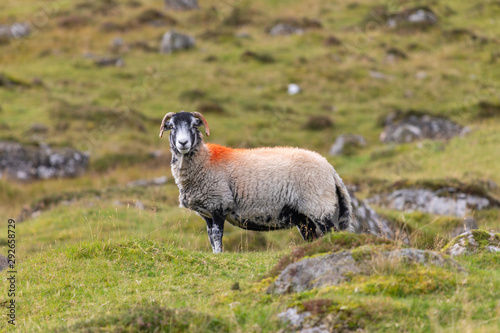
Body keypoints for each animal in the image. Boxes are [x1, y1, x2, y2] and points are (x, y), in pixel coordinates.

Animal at [159, 111, 352, 252]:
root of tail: (330, 169)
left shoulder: (219, 204)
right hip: (303, 216)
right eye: (172, 127)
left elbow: (217, 236)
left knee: (332, 232)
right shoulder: (207, 212)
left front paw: (219, 255)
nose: (183, 143)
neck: (205, 160)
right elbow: (211, 237)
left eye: (193, 125)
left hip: (319, 206)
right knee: (311, 237)